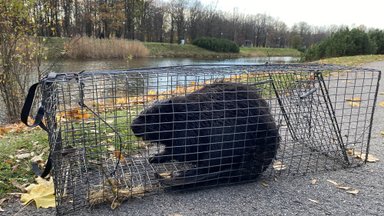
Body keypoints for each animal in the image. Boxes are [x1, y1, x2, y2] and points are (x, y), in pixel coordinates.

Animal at [131, 82, 280, 186]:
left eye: (151, 116)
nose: (132, 125)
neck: (183, 115)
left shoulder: (189, 130)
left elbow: (182, 149)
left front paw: (156, 157)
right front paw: (154, 157)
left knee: (210, 165)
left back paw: (183, 173)